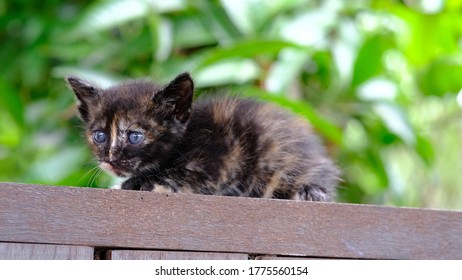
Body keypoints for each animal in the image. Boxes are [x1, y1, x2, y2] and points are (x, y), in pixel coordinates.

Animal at [66, 73, 340, 200]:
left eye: (134, 136)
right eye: (99, 135)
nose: (110, 159)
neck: (187, 136)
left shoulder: (212, 168)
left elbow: (168, 177)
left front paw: (128, 184)